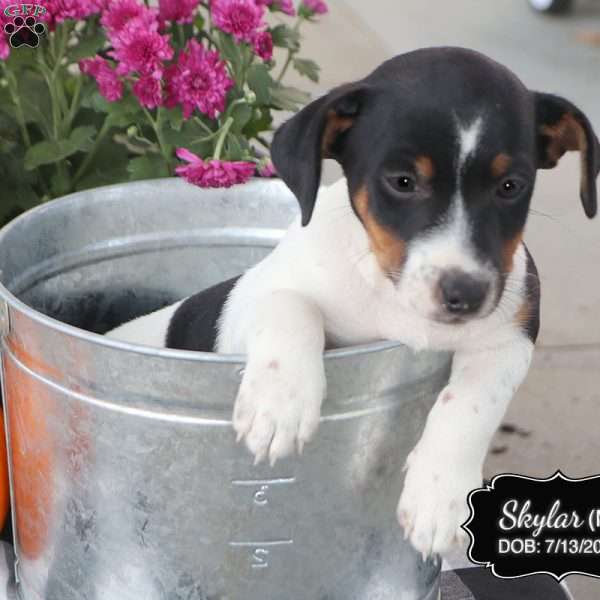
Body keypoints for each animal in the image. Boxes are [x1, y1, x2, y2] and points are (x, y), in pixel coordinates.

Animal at [108, 47, 600, 556]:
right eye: (402, 181)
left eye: (511, 186)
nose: (465, 293)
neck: (390, 293)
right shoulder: (254, 297)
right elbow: (292, 308)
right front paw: (279, 405)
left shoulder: (510, 333)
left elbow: (472, 402)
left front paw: (438, 494)